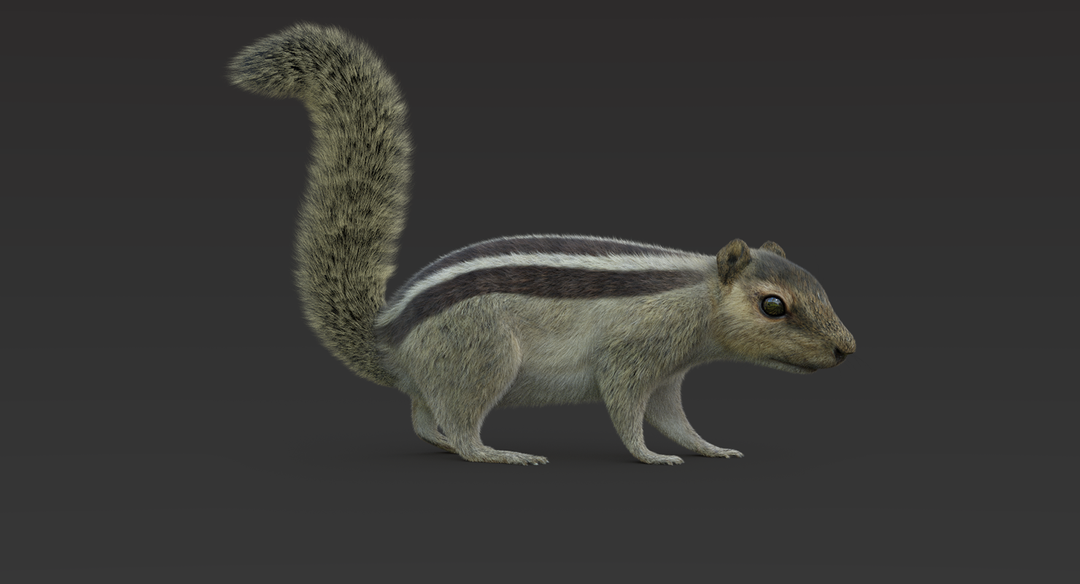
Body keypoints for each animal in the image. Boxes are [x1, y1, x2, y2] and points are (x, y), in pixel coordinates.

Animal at [228, 22, 856, 466]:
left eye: (818, 284)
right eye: (772, 305)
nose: (846, 349)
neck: (693, 293)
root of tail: (386, 338)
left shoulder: (668, 373)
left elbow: (675, 418)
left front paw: (710, 447)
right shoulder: (633, 358)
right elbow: (627, 410)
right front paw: (651, 456)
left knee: (424, 419)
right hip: (482, 356)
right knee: (459, 423)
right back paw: (500, 453)